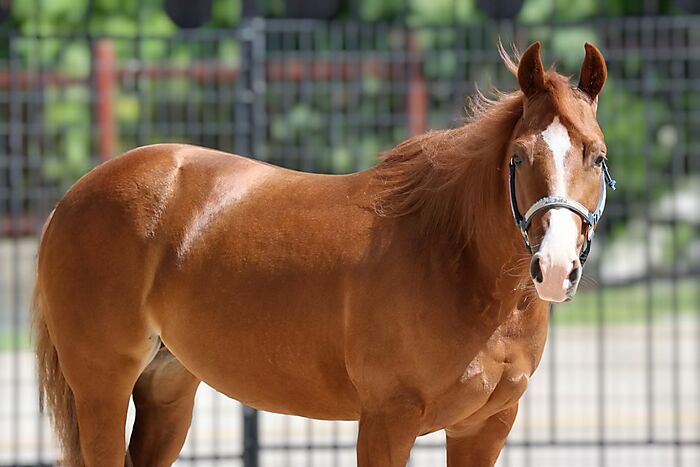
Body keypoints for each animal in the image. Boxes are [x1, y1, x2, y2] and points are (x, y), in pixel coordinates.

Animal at [33, 41, 613, 466]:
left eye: (597, 156)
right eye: (519, 157)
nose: (555, 267)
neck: (456, 261)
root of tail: (73, 197)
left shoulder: (486, 426)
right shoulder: (387, 422)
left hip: (168, 391)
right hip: (102, 388)